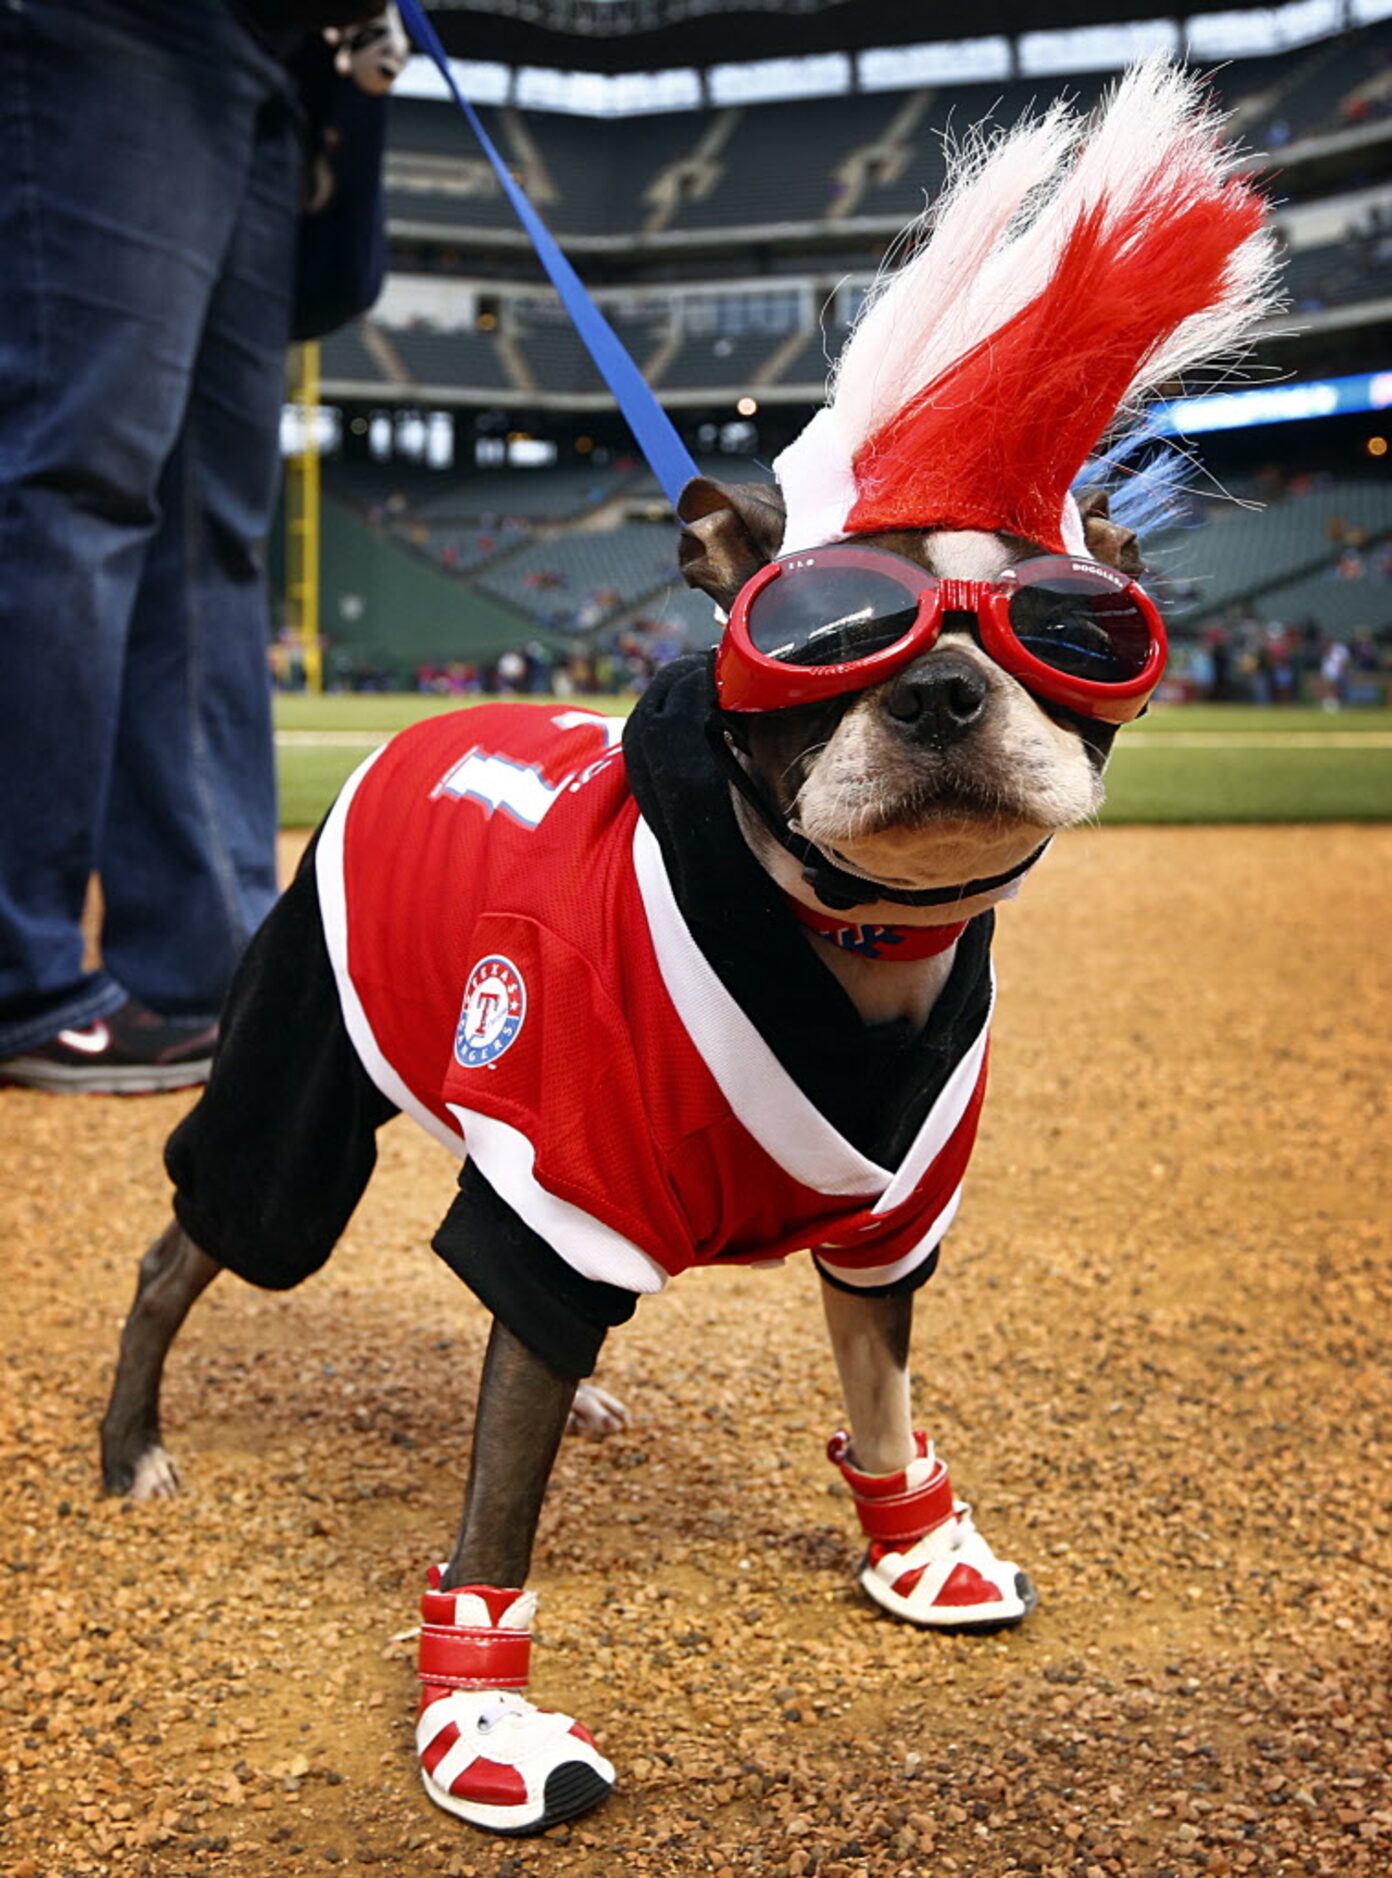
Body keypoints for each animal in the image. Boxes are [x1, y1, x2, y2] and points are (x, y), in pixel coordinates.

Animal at [94, 54, 1269, 1832]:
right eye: (823, 634)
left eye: (1070, 629)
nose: (942, 689)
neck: (847, 935)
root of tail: (416, 731)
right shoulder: (567, 1188)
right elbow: (496, 1505)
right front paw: (482, 1716)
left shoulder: (889, 1221)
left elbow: (879, 1392)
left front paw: (914, 1546)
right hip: (299, 1102)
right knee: (193, 1243)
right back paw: (134, 1444)